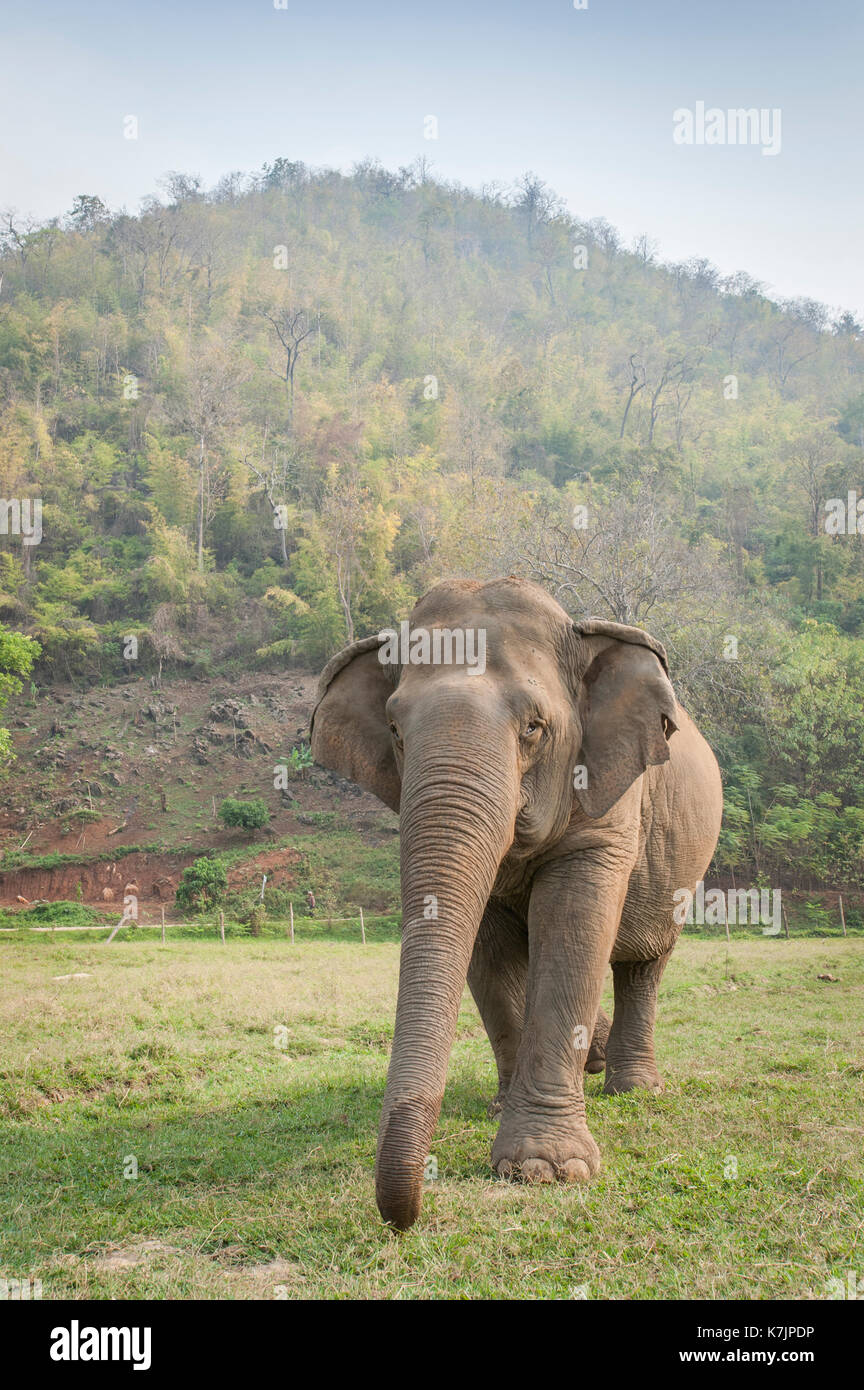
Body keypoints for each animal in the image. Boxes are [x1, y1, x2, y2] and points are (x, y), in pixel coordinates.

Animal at [311, 575, 722, 1228]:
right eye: (396, 732)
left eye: (533, 727)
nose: (404, 1219)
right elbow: (490, 946)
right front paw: (507, 1113)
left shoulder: (607, 800)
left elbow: (574, 924)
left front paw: (545, 1170)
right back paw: (592, 1062)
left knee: (644, 962)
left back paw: (634, 1088)